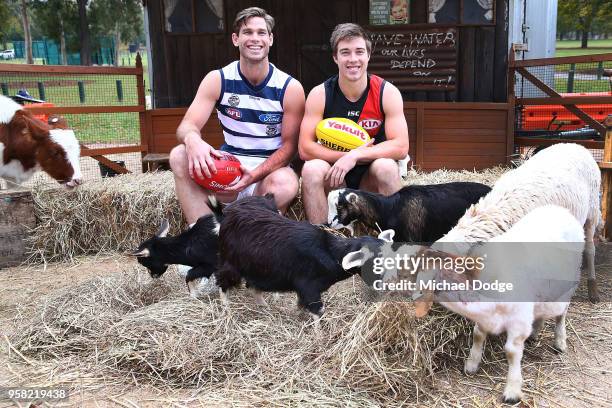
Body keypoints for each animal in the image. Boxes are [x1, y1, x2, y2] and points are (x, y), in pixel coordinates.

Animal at [215, 194, 394, 326]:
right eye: (376, 263)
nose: (390, 284)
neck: (330, 252)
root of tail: (226, 214)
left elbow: (301, 306)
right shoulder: (308, 287)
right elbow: (318, 311)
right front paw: (319, 337)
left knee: (252, 287)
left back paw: (265, 307)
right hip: (232, 262)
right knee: (223, 282)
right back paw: (226, 310)